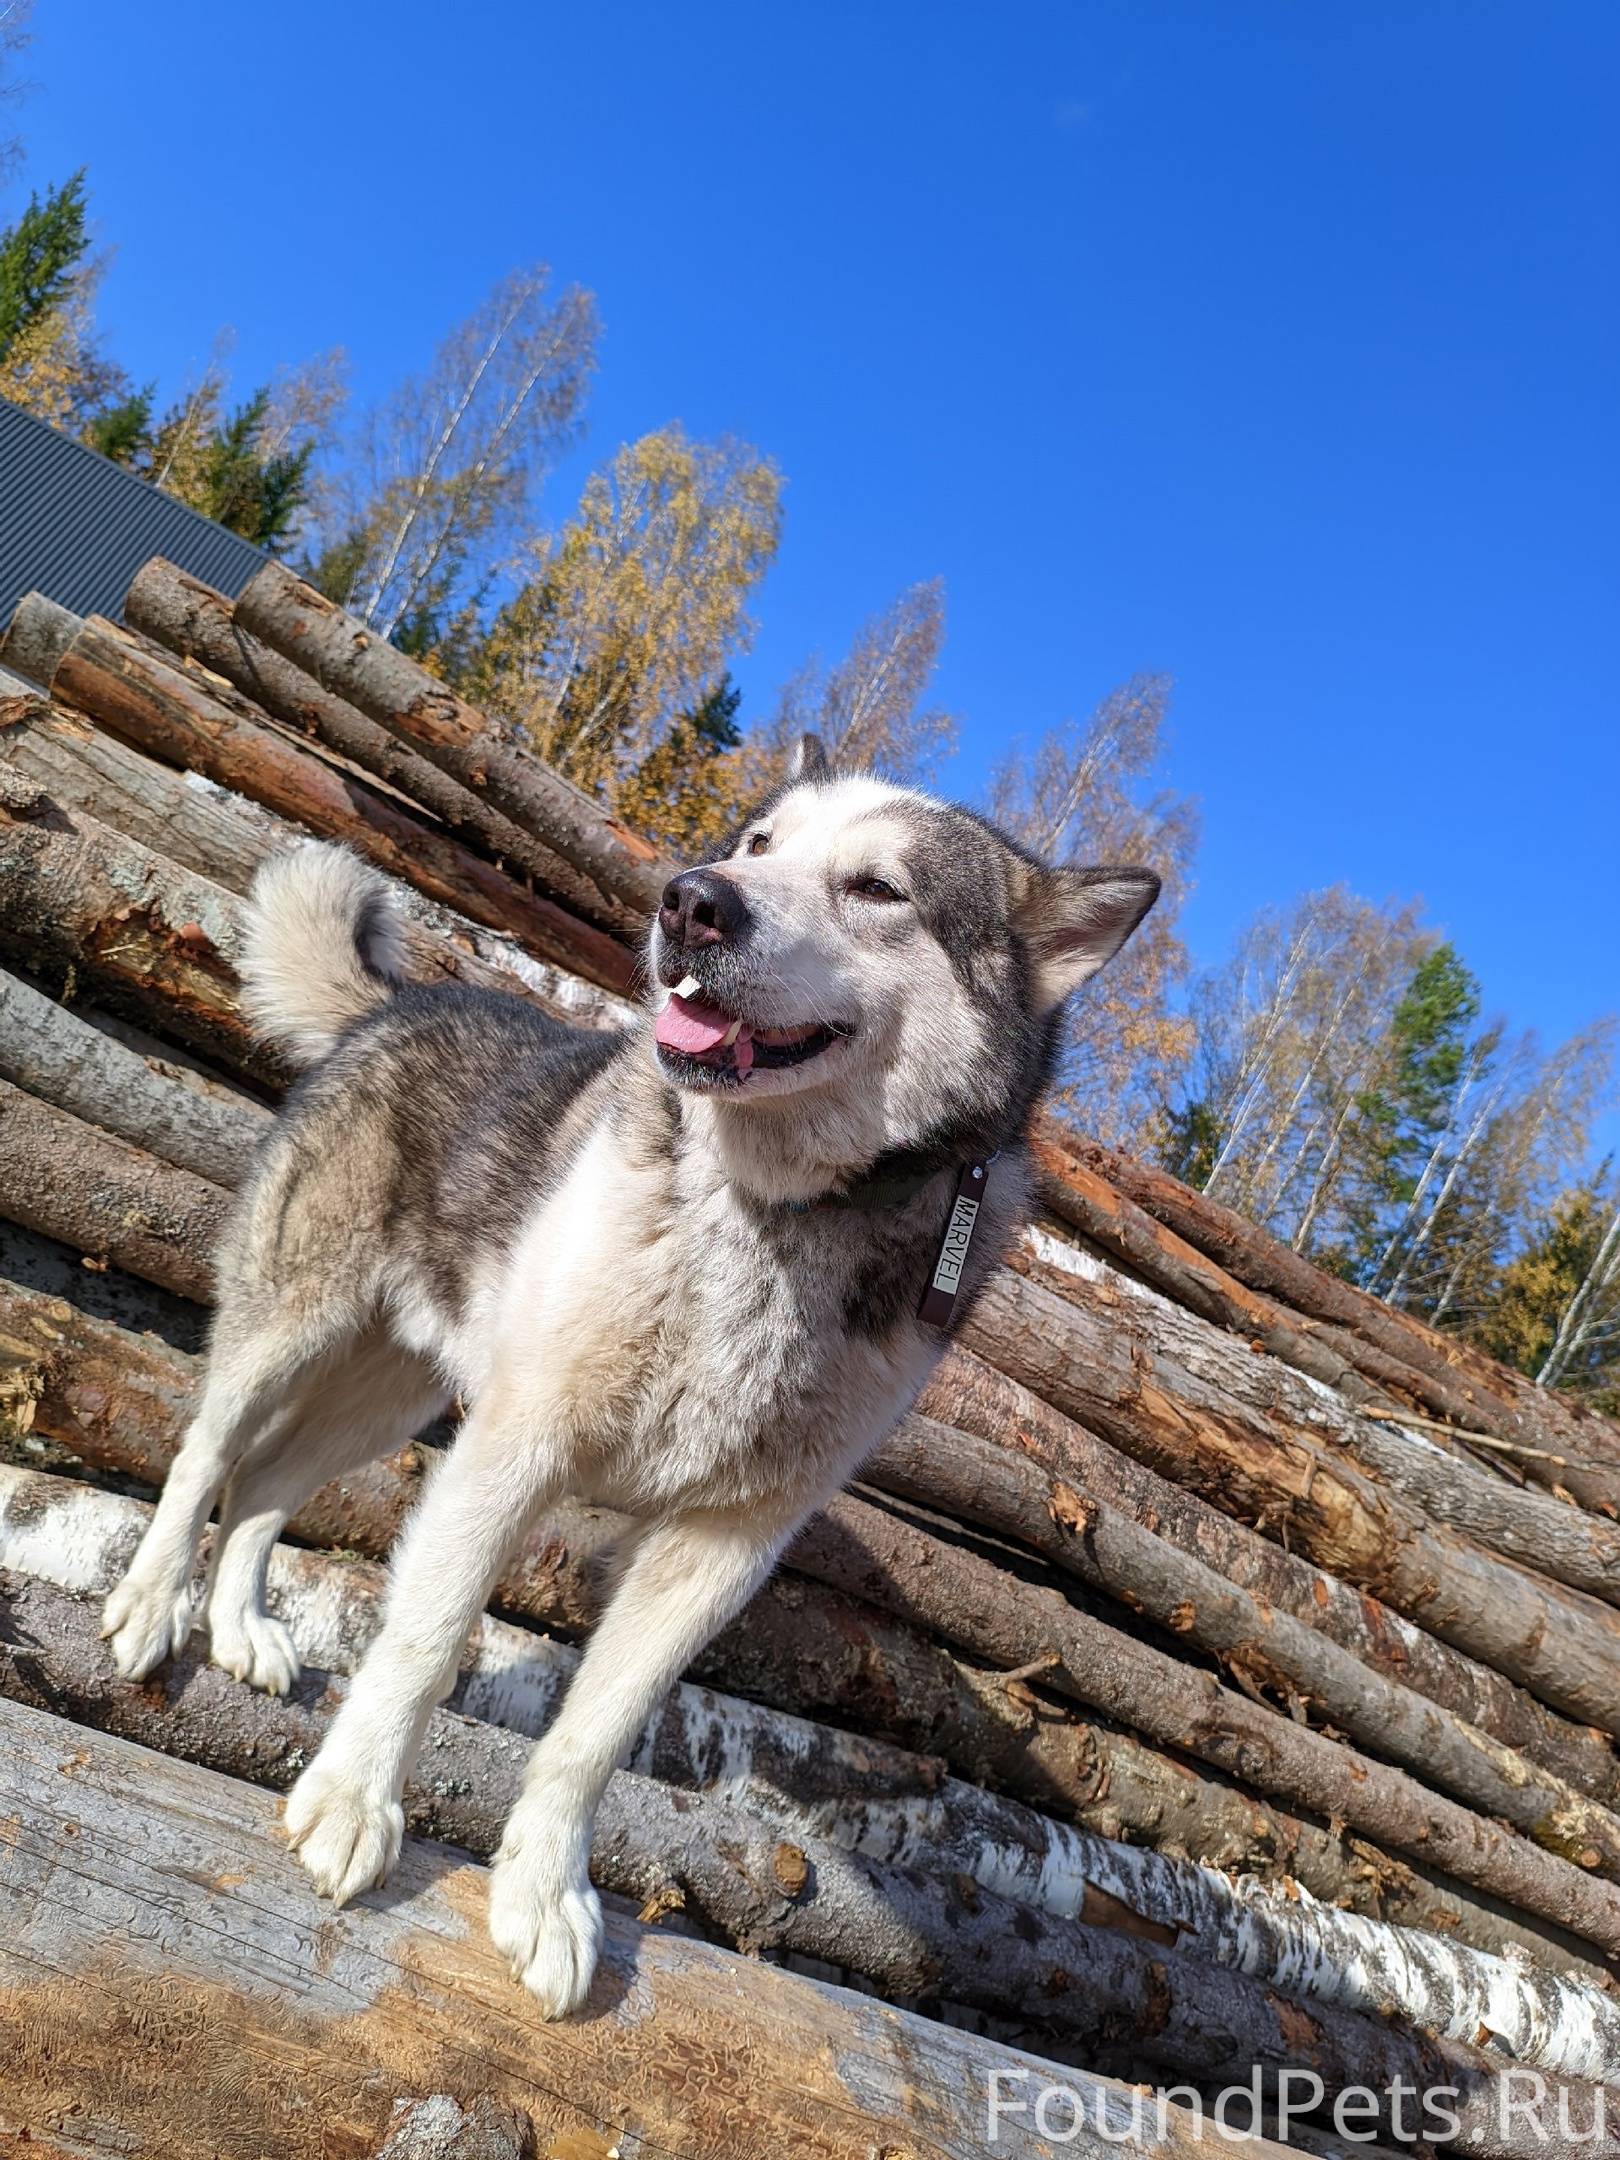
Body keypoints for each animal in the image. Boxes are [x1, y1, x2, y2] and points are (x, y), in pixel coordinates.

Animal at [101, 738, 1157, 2004]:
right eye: (759, 844)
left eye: (878, 889)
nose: (691, 901)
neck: (770, 1217)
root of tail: (400, 1002)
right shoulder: (514, 1449)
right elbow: (425, 1639)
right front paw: (355, 1803)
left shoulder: (724, 1549)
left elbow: (596, 1734)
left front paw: (544, 1895)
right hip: (294, 1321)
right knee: (208, 1450)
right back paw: (152, 1603)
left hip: (395, 1393)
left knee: (265, 1488)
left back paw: (243, 1628)